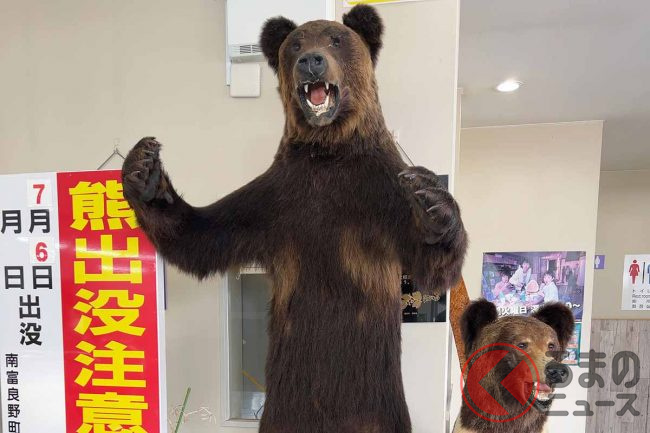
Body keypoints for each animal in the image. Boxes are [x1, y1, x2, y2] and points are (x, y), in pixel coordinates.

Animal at [121, 5, 467, 433]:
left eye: (336, 39)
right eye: (296, 44)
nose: (311, 61)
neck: (327, 150)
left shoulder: (379, 193)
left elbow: (431, 268)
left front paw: (435, 207)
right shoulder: (275, 202)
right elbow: (205, 236)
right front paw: (144, 171)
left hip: (374, 403)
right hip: (284, 407)